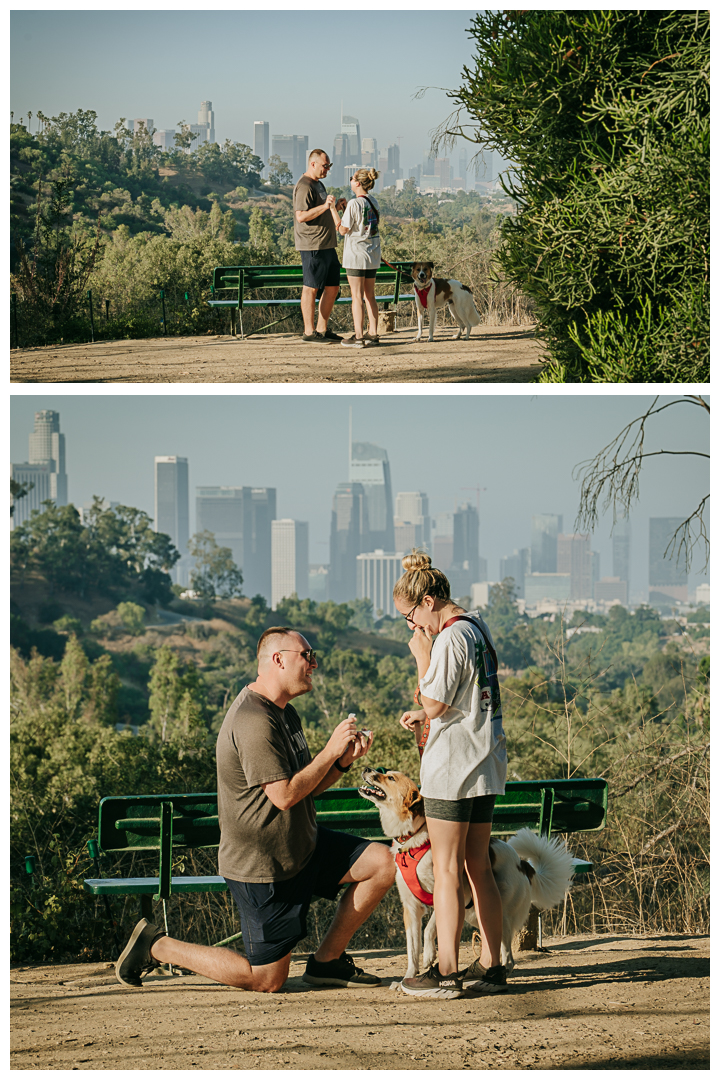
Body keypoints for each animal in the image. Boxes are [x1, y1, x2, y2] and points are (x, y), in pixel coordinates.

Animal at [358, 768, 574, 980]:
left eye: (390, 778)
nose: (366, 768)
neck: (412, 840)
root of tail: (522, 863)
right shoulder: (410, 907)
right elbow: (412, 949)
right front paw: (408, 978)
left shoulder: (448, 891)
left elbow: (429, 930)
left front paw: (429, 956)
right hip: (476, 914)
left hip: (502, 914)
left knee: (508, 956)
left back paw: (499, 974)